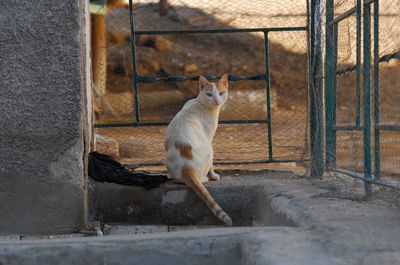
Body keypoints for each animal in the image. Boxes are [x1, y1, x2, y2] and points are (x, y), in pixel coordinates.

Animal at [164, 73, 233, 225]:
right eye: (209, 94)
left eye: (221, 93)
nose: (217, 101)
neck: (199, 102)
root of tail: (186, 167)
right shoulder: (209, 136)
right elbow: (212, 166)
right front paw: (214, 176)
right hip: (209, 149)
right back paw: (206, 178)